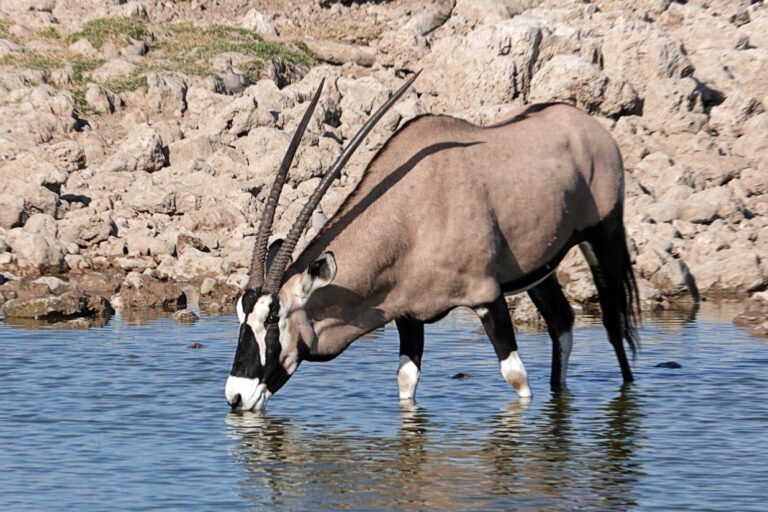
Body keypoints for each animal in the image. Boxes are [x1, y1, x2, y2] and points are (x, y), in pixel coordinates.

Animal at [225, 72, 640, 410]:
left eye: (273, 317)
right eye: (241, 315)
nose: (236, 396)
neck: (412, 214)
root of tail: (588, 125)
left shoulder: (487, 296)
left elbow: (516, 377)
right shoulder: (409, 317)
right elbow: (406, 382)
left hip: (603, 235)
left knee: (613, 323)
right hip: (540, 268)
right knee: (561, 321)